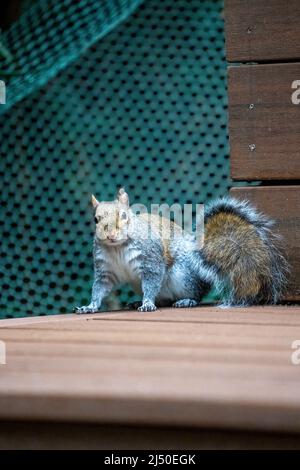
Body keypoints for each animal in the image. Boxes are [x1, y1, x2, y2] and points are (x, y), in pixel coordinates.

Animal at [74, 186, 288, 312]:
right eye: (96, 219)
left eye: (124, 215)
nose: (110, 235)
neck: (117, 247)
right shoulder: (105, 270)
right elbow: (99, 288)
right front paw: (90, 306)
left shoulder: (152, 260)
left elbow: (152, 282)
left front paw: (147, 303)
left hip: (184, 275)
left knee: (194, 294)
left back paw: (186, 301)